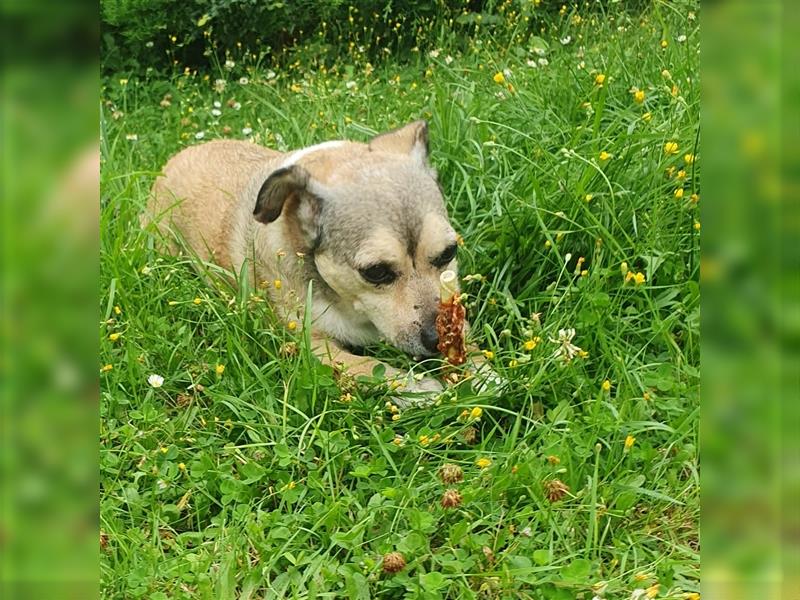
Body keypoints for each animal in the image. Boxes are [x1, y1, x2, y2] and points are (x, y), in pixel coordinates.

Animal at [141, 119, 460, 396]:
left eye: (450, 252)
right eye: (376, 272)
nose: (439, 340)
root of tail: (176, 157)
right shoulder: (311, 346)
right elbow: (367, 366)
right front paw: (417, 388)